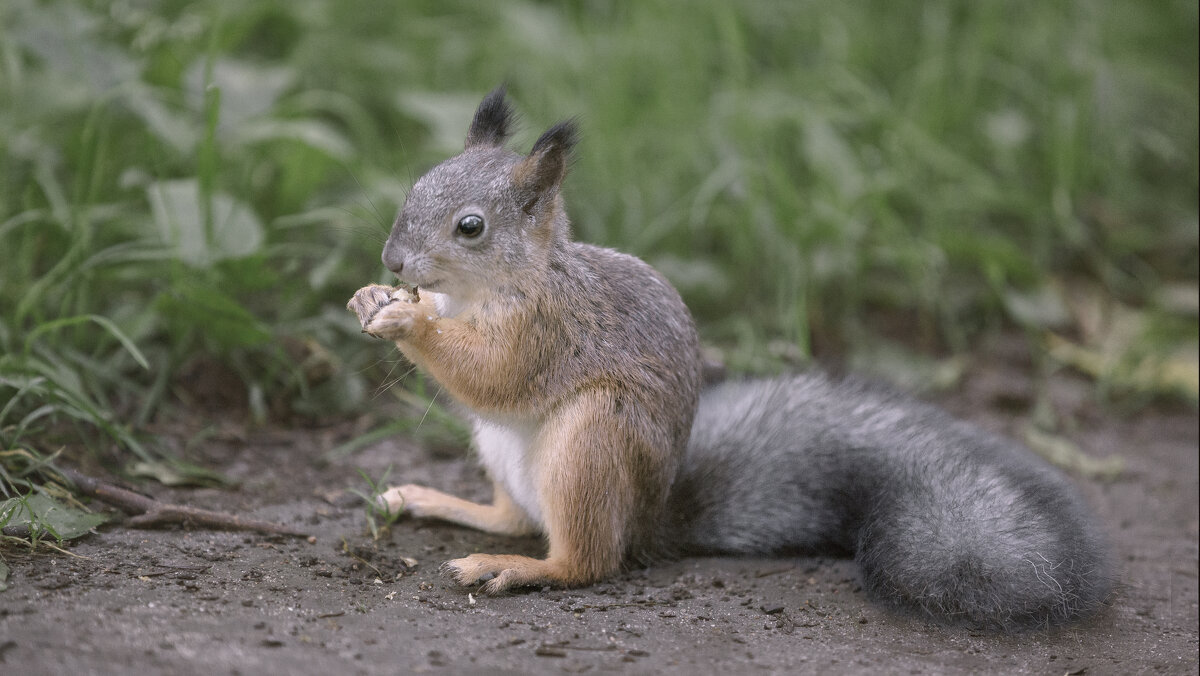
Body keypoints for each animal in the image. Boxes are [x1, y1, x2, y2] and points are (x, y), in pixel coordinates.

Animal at [350, 87, 1113, 633]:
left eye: (470, 227)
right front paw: (372, 297)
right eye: (416, 186)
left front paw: (410, 317)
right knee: (516, 518)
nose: (393, 260)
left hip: (591, 440)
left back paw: (516, 568)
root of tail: (648, 521)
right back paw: (432, 501)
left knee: (586, 560)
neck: (495, 287)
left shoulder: (547, 329)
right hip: (507, 454)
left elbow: (494, 374)